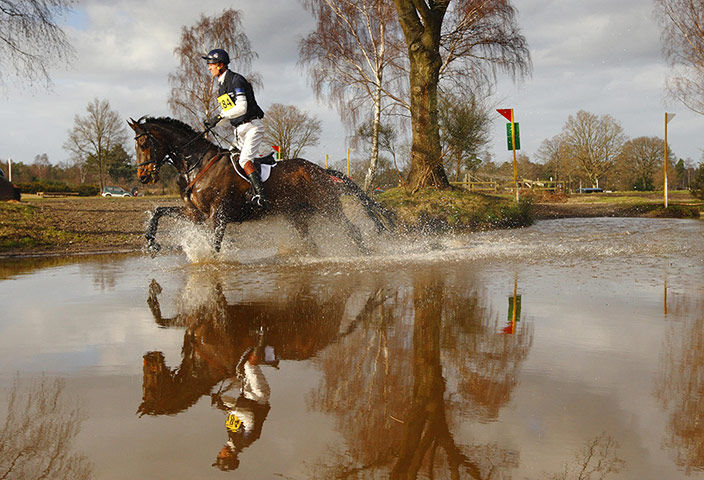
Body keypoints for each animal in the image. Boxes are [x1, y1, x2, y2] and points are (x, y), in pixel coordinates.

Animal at [128, 116, 393, 255]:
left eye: (144, 144)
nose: (143, 177)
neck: (197, 164)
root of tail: (321, 171)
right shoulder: (196, 214)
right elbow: (158, 211)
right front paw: (151, 242)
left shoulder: (218, 214)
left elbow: (215, 244)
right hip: (298, 215)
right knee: (311, 241)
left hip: (328, 207)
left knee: (353, 230)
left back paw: (367, 256)